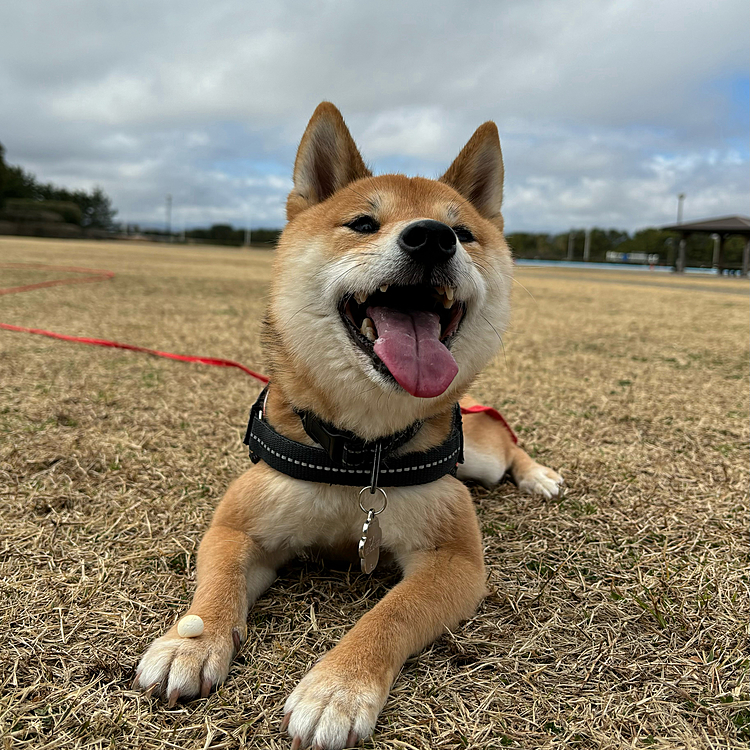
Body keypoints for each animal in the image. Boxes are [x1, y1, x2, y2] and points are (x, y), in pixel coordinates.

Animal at [132, 103, 560, 748]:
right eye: (362, 223)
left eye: (463, 233)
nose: (432, 237)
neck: (361, 453)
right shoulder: (239, 526)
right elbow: (217, 586)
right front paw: (192, 643)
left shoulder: (454, 561)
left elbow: (389, 615)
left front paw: (338, 688)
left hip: (480, 464)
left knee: (508, 446)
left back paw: (538, 476)